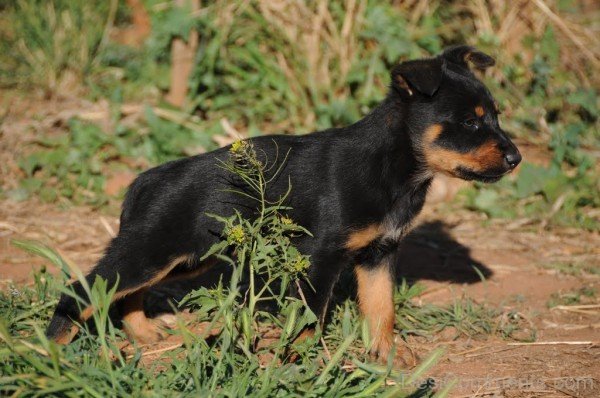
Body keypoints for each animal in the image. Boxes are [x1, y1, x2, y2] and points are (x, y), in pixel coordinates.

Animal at [47, 45, 520, 360]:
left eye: (495, 117)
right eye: (470, 122)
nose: (516, 158)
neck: (396, 166)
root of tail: (146, 180)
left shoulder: (378, 254)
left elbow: (381, 309)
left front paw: (385, 357)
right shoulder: (320, 258)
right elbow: (312, 317)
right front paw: (303, 361)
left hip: (184, 257)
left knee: (122, 294)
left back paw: (143, 336)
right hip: (153, 250)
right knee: (82, 290)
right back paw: (49, 352)